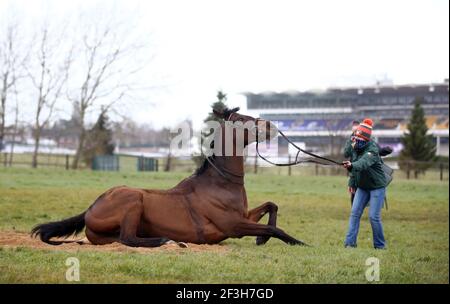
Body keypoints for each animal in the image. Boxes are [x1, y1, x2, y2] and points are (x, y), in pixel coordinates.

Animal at [30, 107, 306, 247]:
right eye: (241, 120)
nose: (270, 125)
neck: (220, 184)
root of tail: (91, 208)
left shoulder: (244, 216)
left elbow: (272, 206)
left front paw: (261, 238)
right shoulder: (233, 225)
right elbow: (276, 229)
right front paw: (298, 243)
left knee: (119, 239)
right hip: (133, 200)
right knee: (128, 239)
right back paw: (166, 240)